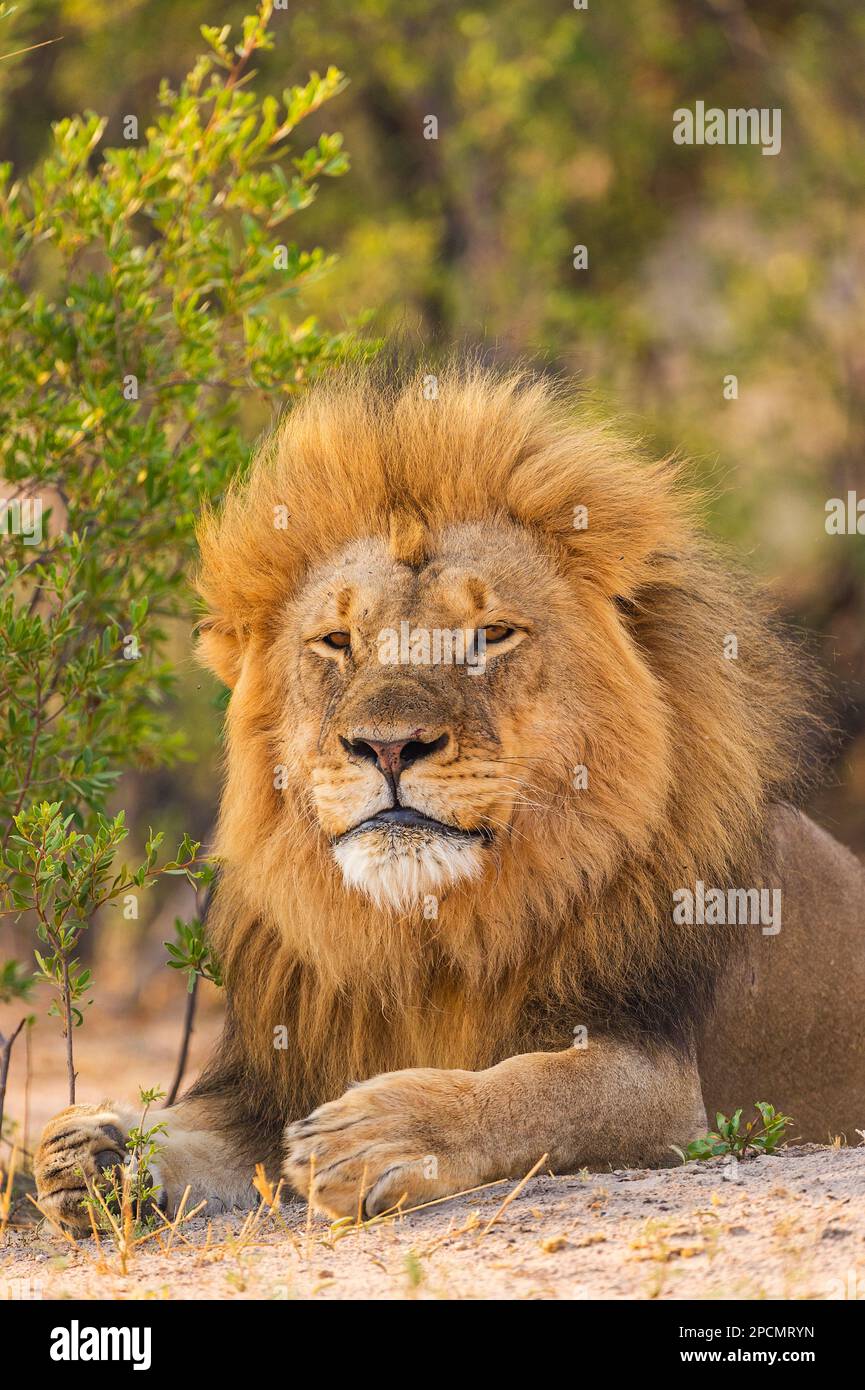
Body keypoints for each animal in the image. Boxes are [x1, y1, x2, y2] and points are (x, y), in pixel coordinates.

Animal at [33, 364, 865, 1223]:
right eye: (337, 642)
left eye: (490, 634)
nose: (388, 746)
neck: (426, 935)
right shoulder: (272, 1082)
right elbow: (193, 1134)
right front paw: (98, 1146)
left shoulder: (657, 1075)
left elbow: (533, 1089)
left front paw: (378, 1135)